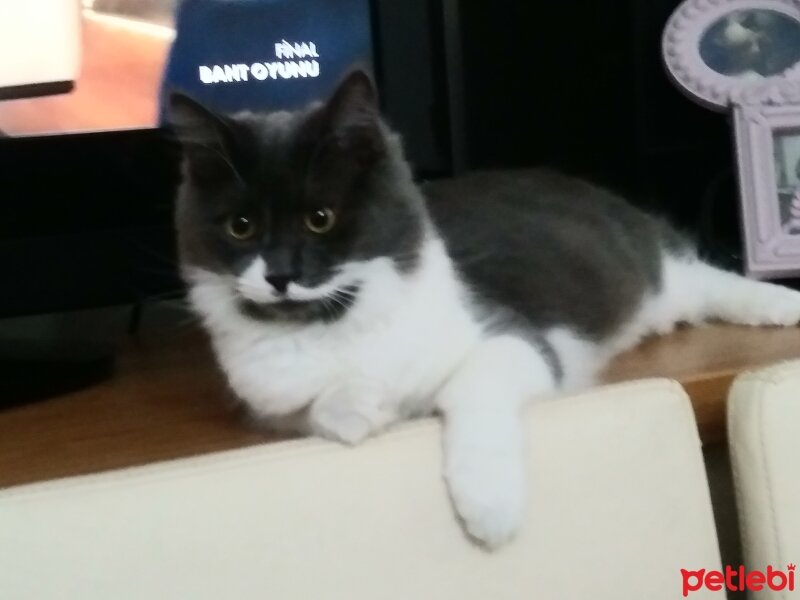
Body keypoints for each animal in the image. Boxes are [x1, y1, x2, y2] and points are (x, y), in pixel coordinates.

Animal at [167, 70, 800, 548]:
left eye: (319, 219)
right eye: (241, 227)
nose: (279, 276)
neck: (333, 323)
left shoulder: (514, 338)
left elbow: (468, 389)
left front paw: (489, 506)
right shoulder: (270, 405)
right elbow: (319, 408)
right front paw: (359, 408)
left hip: (652, 274)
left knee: (699, 277)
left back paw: (780, 304)